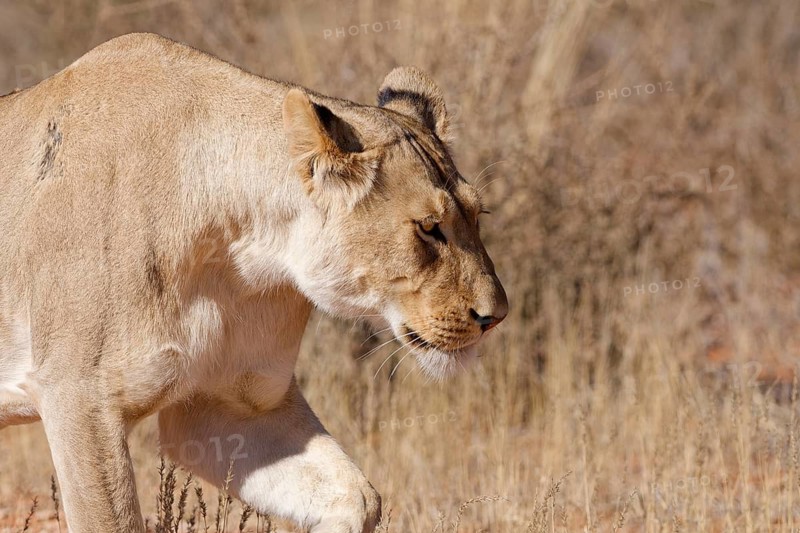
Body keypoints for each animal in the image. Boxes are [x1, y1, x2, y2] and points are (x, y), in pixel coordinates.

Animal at [0, 33, 508, 532]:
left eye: (477, 215)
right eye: (429, 227)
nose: (495, 317)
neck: (242, 256)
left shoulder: (225, 406)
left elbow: (358, 497)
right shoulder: (78, 399)